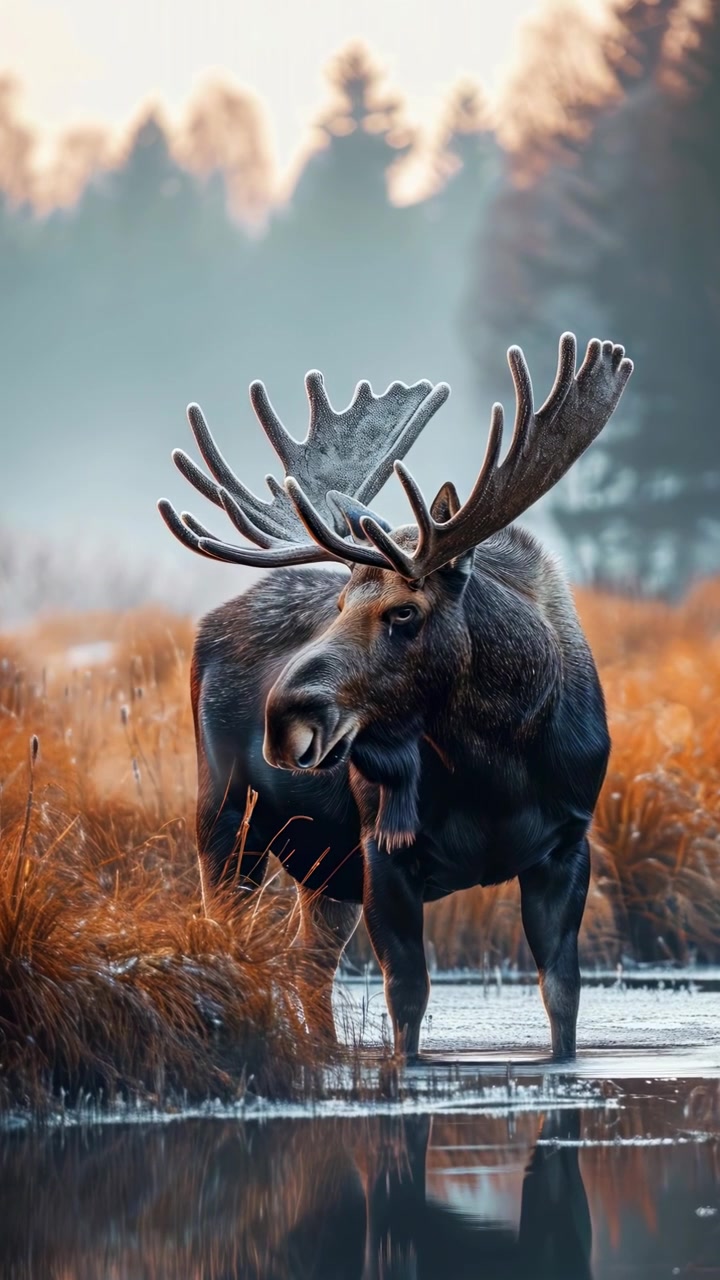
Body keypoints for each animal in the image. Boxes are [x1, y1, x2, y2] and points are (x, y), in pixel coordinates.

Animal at [158, 332, 633, 1061]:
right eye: (340, 604)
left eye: (404, 612)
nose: (283, 716)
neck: (494, 768)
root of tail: (209, 623)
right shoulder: (382, 850)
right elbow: (406, 1003)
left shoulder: (566, 845)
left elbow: (563, 1001)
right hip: (225, 815)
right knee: (230, 935)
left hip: (324, 868)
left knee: (306, 958)